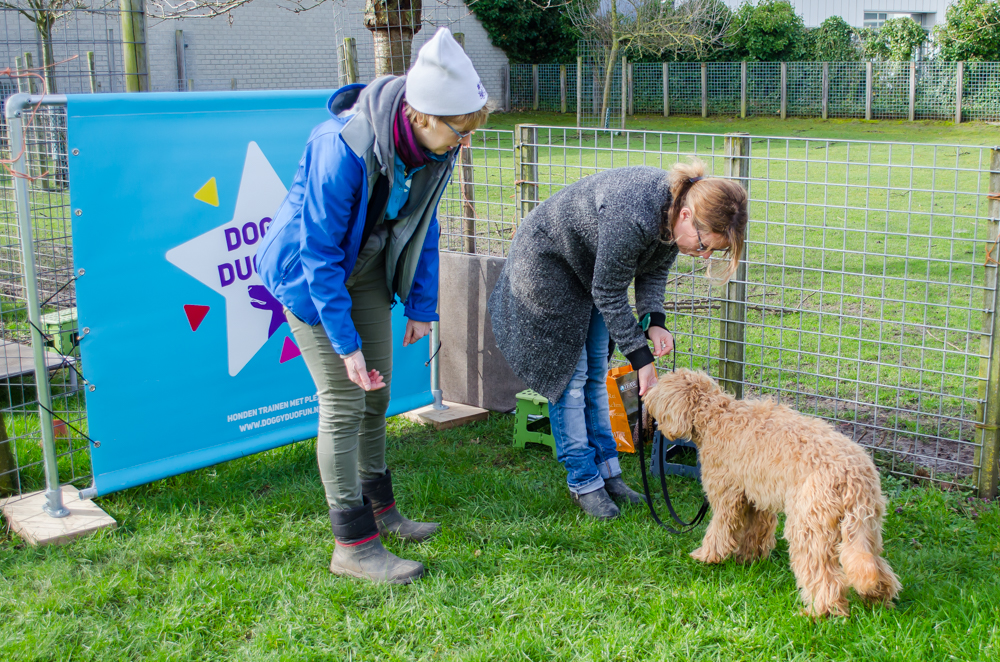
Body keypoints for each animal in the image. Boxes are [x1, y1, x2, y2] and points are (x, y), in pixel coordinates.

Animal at [644, 368, 904, 616]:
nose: (645, 397)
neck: (716, 415)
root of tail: (854, 475)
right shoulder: (756, 499)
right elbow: (755, 532)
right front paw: (749, 559)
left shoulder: (726, 496)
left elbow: (719, 530)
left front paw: (706, 556)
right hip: (864, 529)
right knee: (874, 568)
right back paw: (878, 600)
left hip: (808, 529)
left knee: (824, 577)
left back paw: (819, 612)